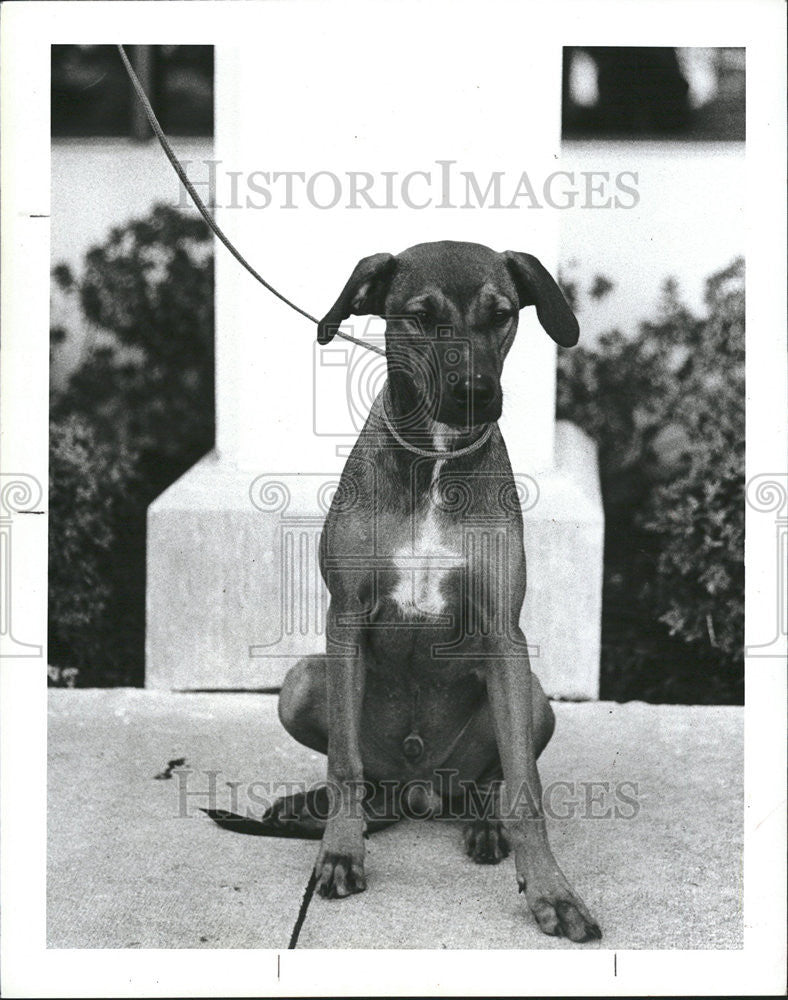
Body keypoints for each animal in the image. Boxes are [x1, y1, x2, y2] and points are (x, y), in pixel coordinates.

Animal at [270, 238, 604, 940]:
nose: (475, 392)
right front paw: (339, 852)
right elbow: (343, 764)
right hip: (302, 683)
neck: (435, 462)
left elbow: (526, 788)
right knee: (367, 784)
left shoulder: (505, 633)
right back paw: (326, 811)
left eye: (501, 315)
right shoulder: (345, 619)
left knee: (494, 782)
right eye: (420, 318)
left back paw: (483, 822)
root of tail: (421, 789)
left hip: (533, 698)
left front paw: (552, 890)